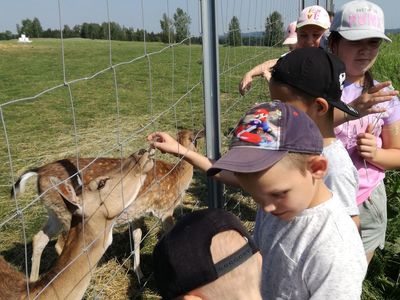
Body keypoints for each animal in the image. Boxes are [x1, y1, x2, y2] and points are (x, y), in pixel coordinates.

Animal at [0, 149, 153, 298]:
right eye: (101, 183)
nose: (140, 152)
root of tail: (38, 170)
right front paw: (140, 275)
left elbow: (137, 235)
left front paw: (140, 274)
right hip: (64, 215)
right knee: (58, 242)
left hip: (54, 213)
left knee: (39, 238)